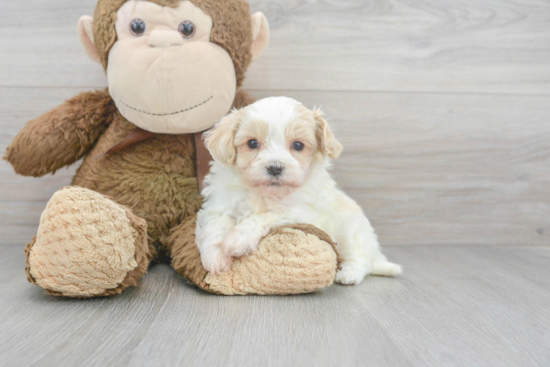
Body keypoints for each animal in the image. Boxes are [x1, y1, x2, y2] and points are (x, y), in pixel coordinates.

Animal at [196, 97, 404, 284]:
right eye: (252, 143)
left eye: (298, 145)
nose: (275, 167)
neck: (266, 193)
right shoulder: (219, 205)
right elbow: (215, 225)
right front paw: (215, 256)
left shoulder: (300, 211)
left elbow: (266, 216)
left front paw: (236, 241)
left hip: (354, 230)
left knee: (360, 258)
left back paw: (348, 274)